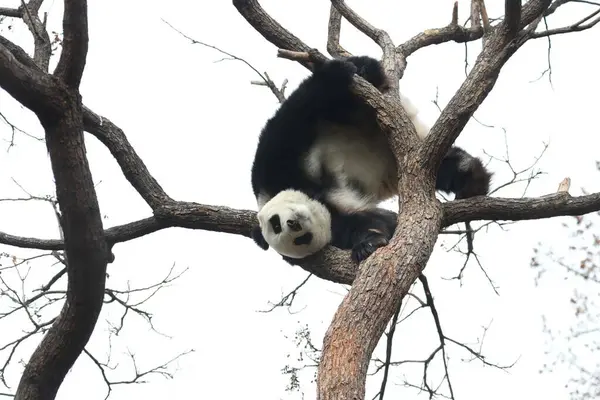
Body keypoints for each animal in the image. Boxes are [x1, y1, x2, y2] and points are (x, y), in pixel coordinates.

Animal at [248, 55, 492, 262]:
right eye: (300, 239)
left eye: (276, 223)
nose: (294, 223)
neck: (319, 198)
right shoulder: (338, 222)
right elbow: (374, 222)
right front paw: (369, 244)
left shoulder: (272, 170)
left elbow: (286, 127)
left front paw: (335, 74)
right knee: (440, 168)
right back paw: (471, 175)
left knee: (339, 100)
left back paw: (358, 69)